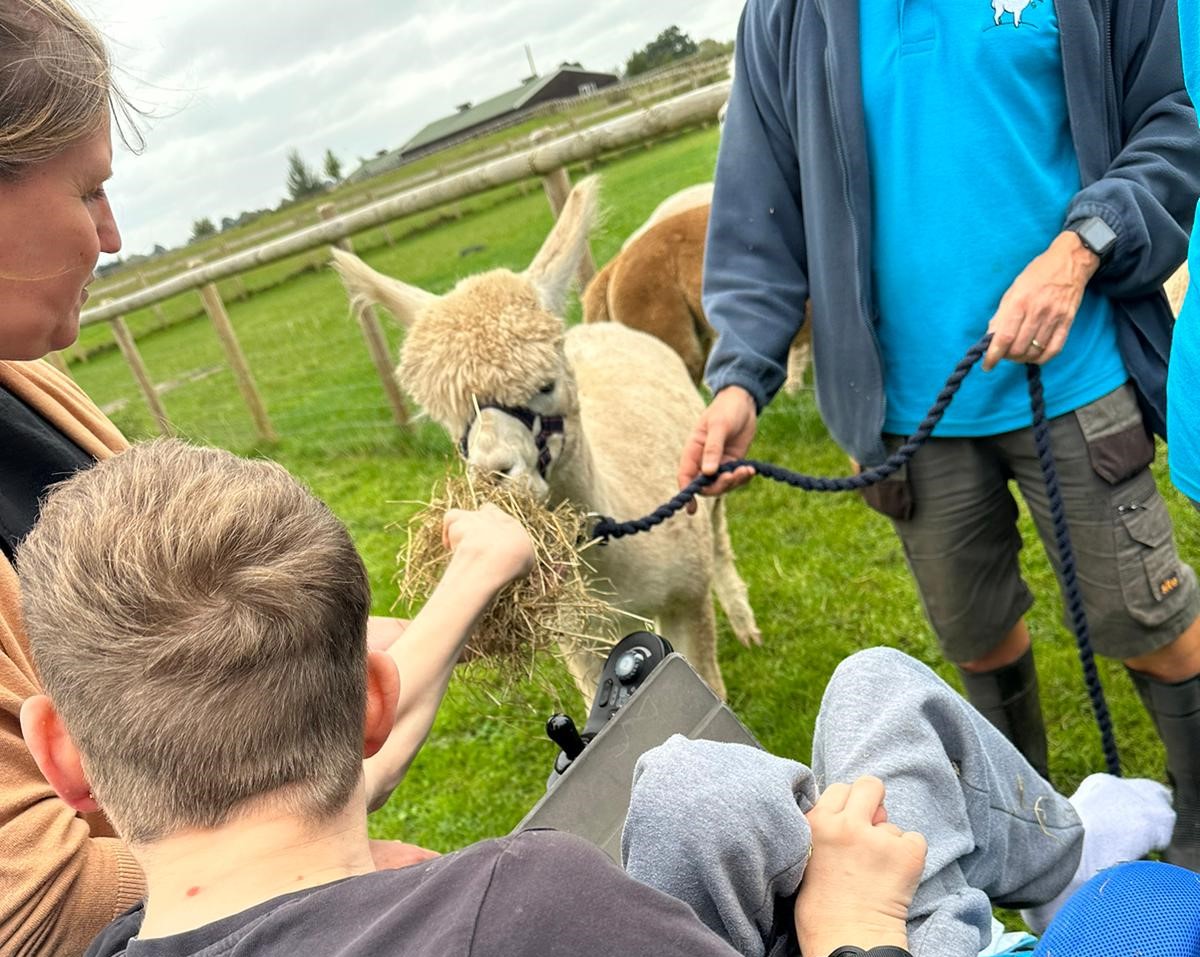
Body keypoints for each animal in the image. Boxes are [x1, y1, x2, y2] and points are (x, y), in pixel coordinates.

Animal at [331, 176, 760, 702]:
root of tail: (600, 324)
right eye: (449, 416)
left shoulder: (685, 596)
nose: (493, 475)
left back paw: (744, 621)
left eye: (545, 385)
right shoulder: (579, 639)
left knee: (718, 537)